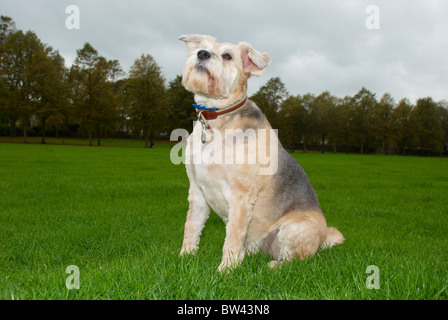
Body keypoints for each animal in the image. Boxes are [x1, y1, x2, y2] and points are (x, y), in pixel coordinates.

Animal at [178, 33, 344, 272]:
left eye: (227, 56)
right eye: (203, 47)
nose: (202, 54)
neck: (216, 122)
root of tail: (323, 240)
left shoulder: (241, 196)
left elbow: (232, 237)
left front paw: (226, 269)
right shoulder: (197, 190)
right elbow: (191, 227)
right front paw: (185, 257)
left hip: (294, 230)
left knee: (295, 261)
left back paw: (272, 266)